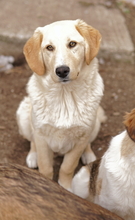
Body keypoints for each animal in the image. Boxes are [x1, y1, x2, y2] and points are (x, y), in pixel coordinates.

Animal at [16, 19, 106, 191]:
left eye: (72, 44)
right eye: (49, 47)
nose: (62, 70)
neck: (65, 97)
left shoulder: (81, 138)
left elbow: (67, 167)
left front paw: (65, 188)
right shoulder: (41, 136)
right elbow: (45, 168)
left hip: (95, 124)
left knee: (88, 144)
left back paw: (89, 155)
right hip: (24, 116)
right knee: (31, 141)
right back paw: (32, 156)